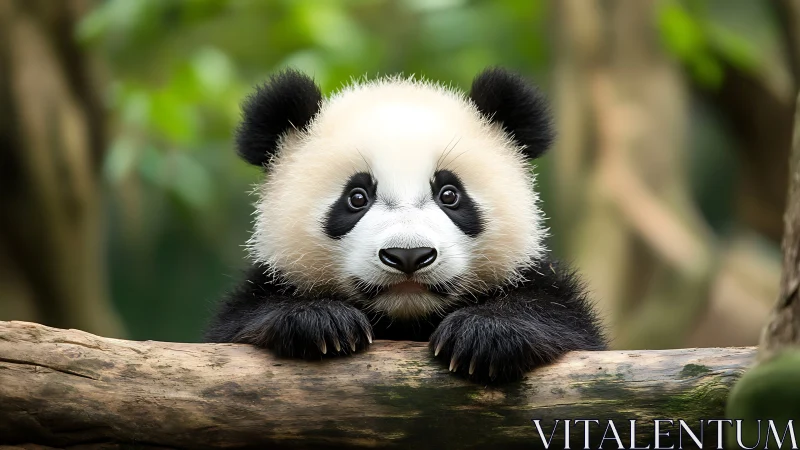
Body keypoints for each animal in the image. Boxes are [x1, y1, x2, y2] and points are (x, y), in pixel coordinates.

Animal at [205, 67, 606, 383]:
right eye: (357, 198)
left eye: (449, 194)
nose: (408, 255)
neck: (406, 319)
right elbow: (239, 323)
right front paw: (319, 322)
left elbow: (560, 318)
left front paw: (485, 334)